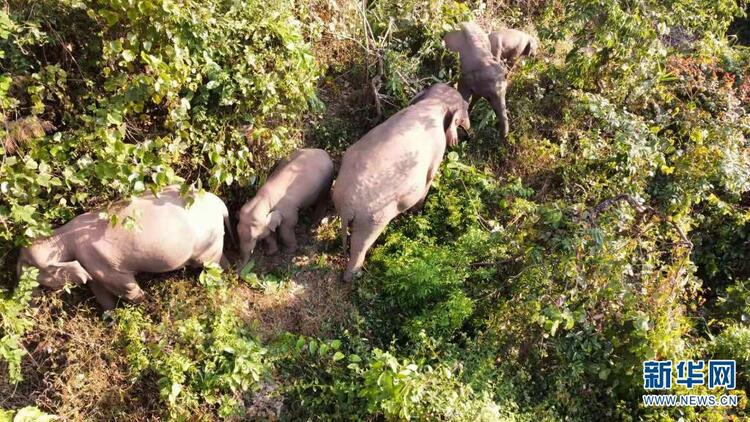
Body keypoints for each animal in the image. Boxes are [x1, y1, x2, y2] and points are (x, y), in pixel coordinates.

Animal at [16, 186, 231, 308]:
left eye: (29, 267)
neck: (61, 235)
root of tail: (220, 204)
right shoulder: (92, 266)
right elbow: (98, 290)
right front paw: (110, 317)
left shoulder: (102, 262)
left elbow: (126, 288)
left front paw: (143, 306)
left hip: (207, 244)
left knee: (210, 266)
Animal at [334, 83, 470, 282]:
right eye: (465, 107)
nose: (469, 131)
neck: (433, 102)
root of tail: (347, 206)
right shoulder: (438, 149)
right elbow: (429, 178)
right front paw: (417, 211)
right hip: (372, 218)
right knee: (362, 242)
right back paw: (354, 276)